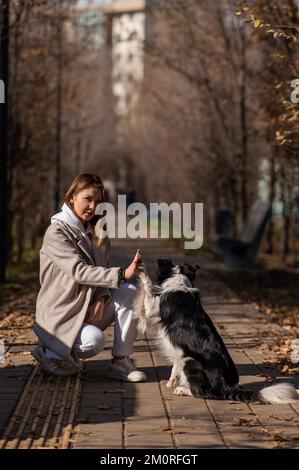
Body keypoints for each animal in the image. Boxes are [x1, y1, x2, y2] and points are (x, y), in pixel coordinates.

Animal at [135, 258, 298, 404]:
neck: (179, 282)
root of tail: (230, 386)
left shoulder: (151, 310)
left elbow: (148, 286)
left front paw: (141, 267)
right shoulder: (180, 350)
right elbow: (175, 363)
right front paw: (172, 380)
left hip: (190, 361)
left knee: (203, 392)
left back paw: (182, 390)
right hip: (187, 358)